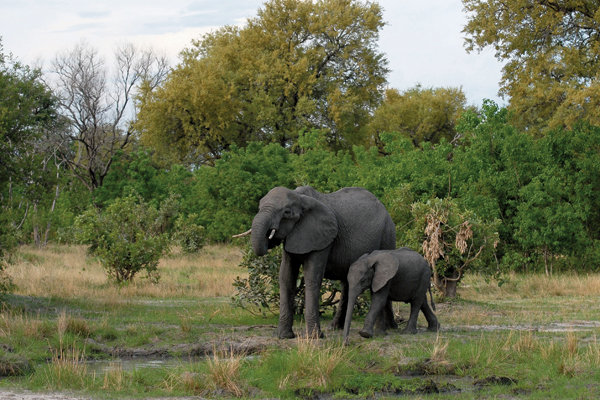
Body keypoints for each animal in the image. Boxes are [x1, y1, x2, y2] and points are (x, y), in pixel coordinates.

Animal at [247, 186, 394, 340]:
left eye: (286, 212)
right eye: (259, 207)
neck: (300, 197)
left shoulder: (323, 239)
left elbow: (312, 277)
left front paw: (314, 337)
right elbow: (286, 278)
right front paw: (284, 336)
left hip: (387, 235)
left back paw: (390, 328)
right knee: (347, 282)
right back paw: (335, 327)